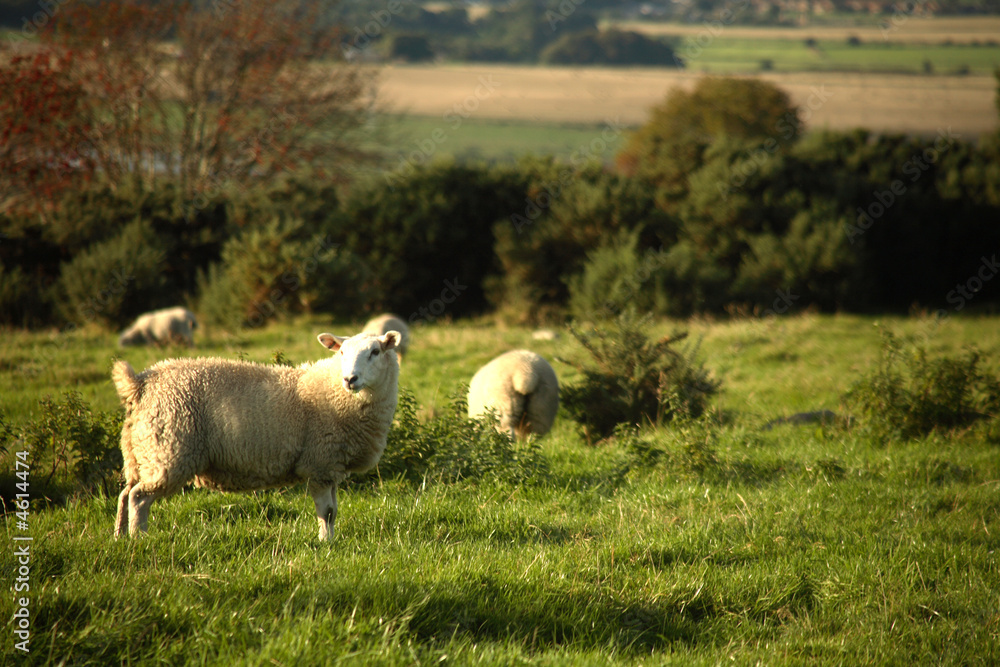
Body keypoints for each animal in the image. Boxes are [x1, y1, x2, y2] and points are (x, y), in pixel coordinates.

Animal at [110, 330, 402, 541]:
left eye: (375, 352)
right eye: (341, 352)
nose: (350, 379)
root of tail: (141, 382)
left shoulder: (330, 465)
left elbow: (333, 512)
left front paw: (330, 540)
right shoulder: (318, 463)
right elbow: (327, 512)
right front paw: (326, 544)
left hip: (141, 451)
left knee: (124, 495)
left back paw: (119, 538)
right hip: (168, 451)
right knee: (139, 497)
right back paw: (139, 539)